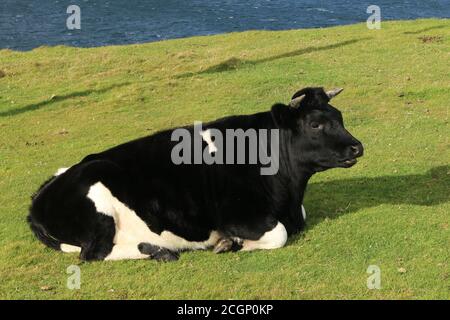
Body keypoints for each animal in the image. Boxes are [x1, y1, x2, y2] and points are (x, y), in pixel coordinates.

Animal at [27, 87, 362, 260]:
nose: (357, 147)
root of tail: (39, 197)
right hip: (99, 206)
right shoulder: (240, 216)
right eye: (315, 124)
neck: (289, 194)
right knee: (94, 253)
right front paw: (231, 243)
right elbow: (278, 233)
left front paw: (231, 243)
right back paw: (157, 250)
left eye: (340, 116)